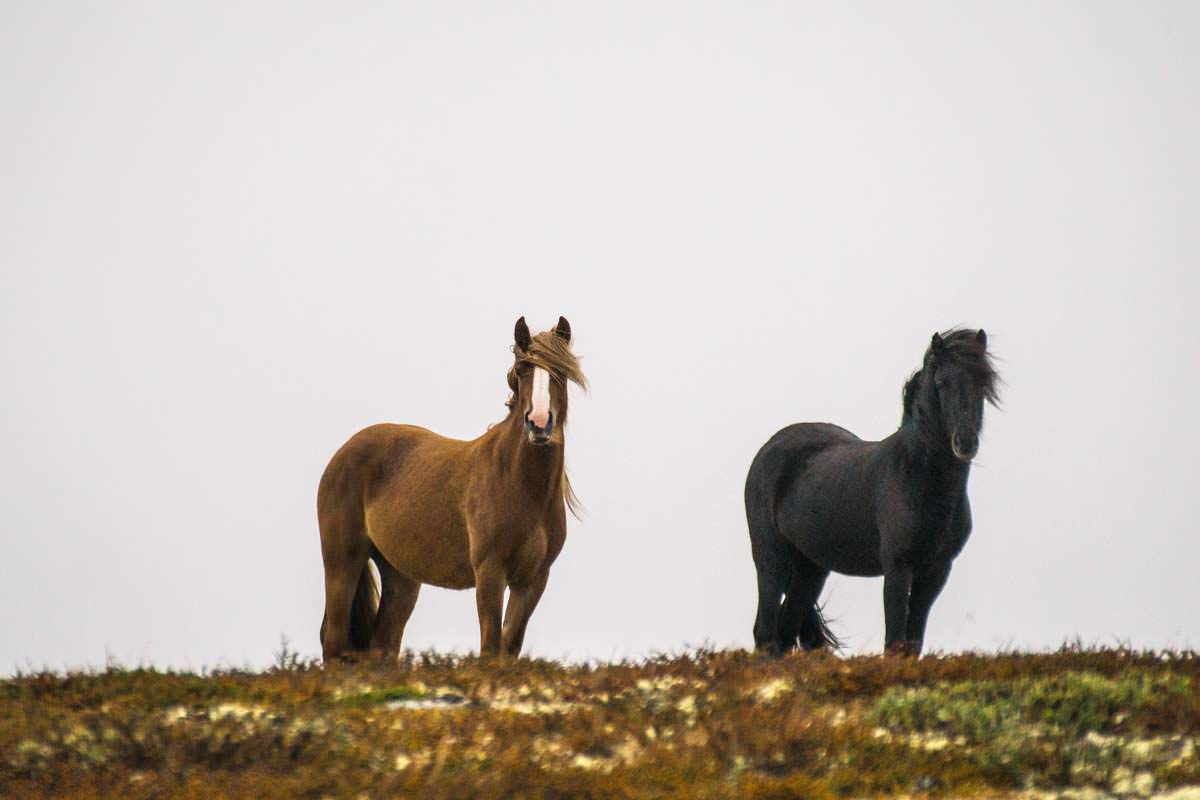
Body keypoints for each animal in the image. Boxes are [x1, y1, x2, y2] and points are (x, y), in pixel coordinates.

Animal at [316, 316, 583, 662]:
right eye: (522, 369)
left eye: (561, 373)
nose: (539, 423)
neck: (522, 486)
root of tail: (344, 452)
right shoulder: (490, 573)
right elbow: (490, 648)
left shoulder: (533, 579)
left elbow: (508, 647)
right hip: (343, 560)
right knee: (334, 640)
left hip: (401, 576)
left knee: (384, 644)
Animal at [744, 331, 998, 657]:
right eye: (942, 383)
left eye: (983, 383)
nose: (965, 442)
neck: (923, 483)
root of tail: (770, 447)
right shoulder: (897, 567)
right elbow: (894, 641)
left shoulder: (937, 570)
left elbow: (913, 642)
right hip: (771, 558)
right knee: (765, 631)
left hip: (810, 568)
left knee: (786, 631)